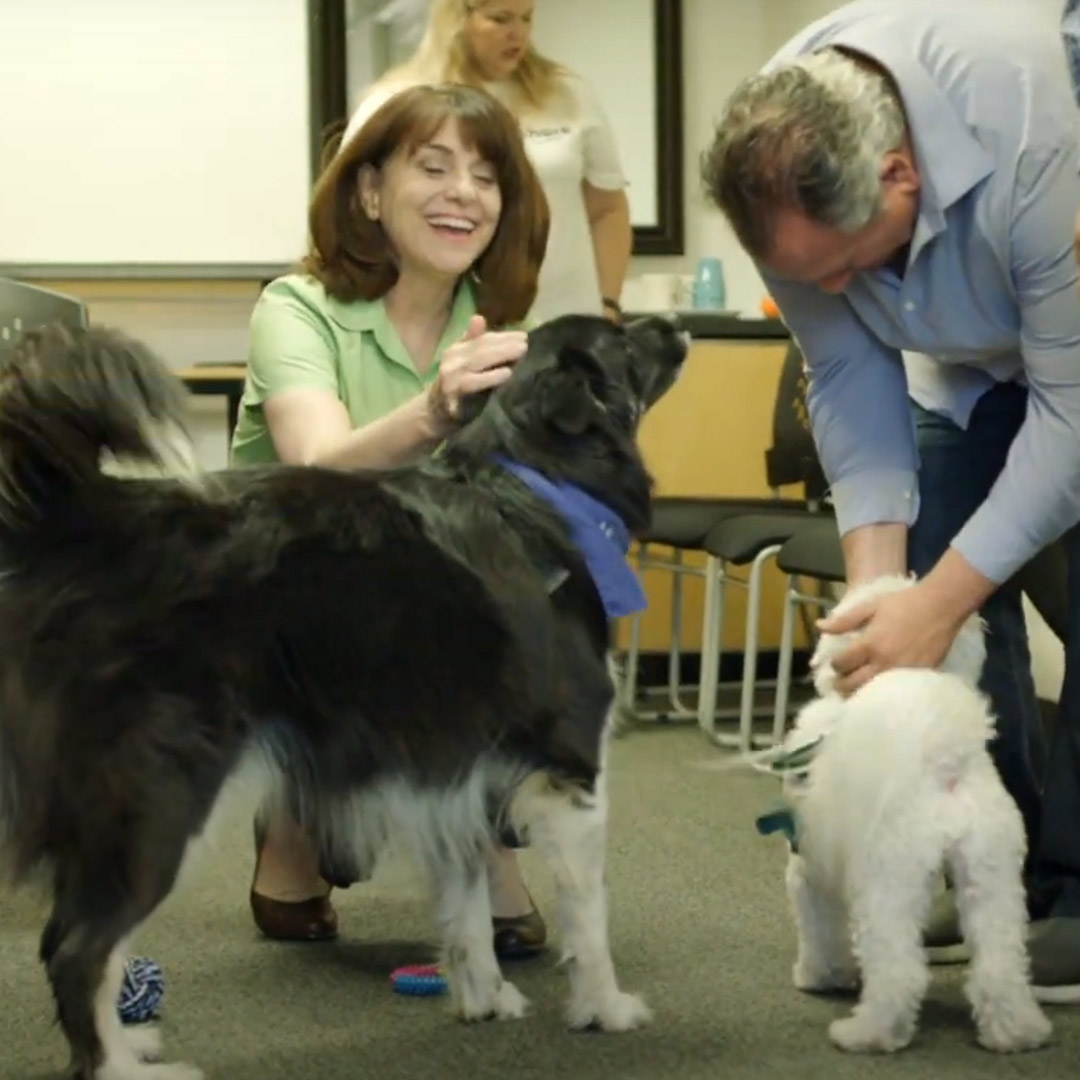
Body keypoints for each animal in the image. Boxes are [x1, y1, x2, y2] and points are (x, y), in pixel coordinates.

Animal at [0, 308, 682, 1075]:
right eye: (621, 336)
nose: (676, 322)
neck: (537, 480)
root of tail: (95, 516)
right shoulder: (570, 770)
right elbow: (589, 915)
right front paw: (606, 1008)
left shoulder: (452, 766)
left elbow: (467, 902)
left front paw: (484, 997)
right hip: (156, 791)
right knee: (77, 946)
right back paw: (117, 1064)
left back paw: (127, 1044)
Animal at [773, 574, 1049, 1054]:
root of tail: (944, 763)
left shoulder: (809, 868)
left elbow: (818, 927)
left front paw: (818, 976)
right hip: (991, 876)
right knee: (1000, 968)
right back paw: (1016, 1032)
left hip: (888, 882)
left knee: (899, 973)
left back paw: (867, 1034)